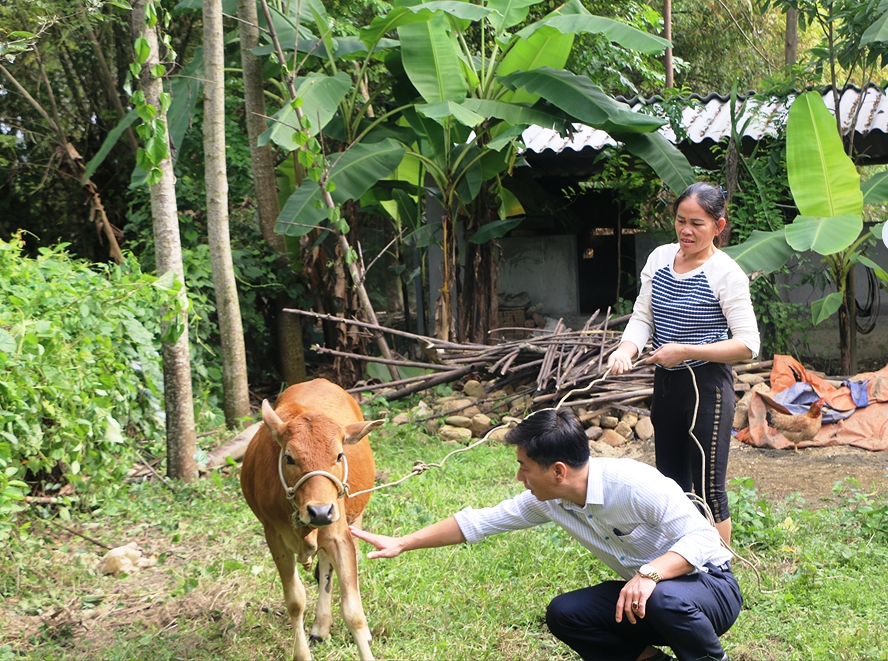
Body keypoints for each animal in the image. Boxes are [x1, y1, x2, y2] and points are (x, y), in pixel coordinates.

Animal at [241, 378, 384, 656]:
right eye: (289, 457)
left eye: (339, 455)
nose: (319, 511)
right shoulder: (273, 535)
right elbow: (295, 601)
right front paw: (302, 654)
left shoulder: (340, 532)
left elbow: (353, 612)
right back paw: (321, 627)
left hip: (355, 515)